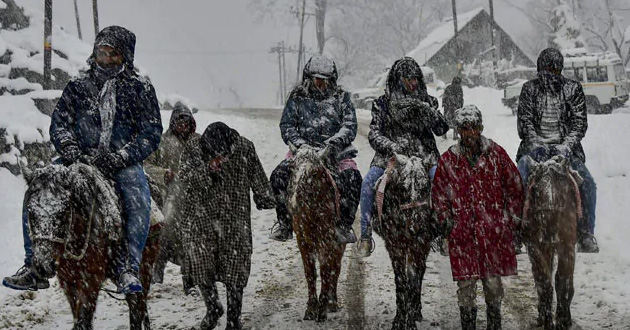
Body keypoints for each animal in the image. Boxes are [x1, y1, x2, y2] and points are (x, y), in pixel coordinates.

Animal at [25, 163, 162, 330]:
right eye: (30, 211)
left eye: (64, 210)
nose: (43, 265)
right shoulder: (68, 282)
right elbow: (78, 318)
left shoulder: (90, 281)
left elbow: (83, 320)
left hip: (145, 268)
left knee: (137, 304)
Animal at [286, 146, 346, 322]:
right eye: (292, 168)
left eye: (313, 173)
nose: (293, 202)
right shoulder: (303, 241)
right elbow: (310, 273)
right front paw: (311, 309)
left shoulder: (326, 241)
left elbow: (326, 271)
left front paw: (322, 309)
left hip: (339, 245)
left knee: (336, 268)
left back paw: (332, 302)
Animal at [372, 155, 436, 330]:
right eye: (403, 188)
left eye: (425, 187)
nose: (417, 226)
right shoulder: (395, 246)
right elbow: (401, 281)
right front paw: (399, 320)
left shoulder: (419, 244)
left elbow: (413, 280)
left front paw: (411, 320)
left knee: (421, 271)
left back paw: (417, 311)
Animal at [520, 155, 584, 330]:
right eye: (535, 189)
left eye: (561, 188)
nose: (549, 228)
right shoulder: (534, 246)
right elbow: (544, 283)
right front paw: (548, 320)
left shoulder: (567, 246)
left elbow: (563, 283)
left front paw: (562, 320)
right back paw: (542, 315)